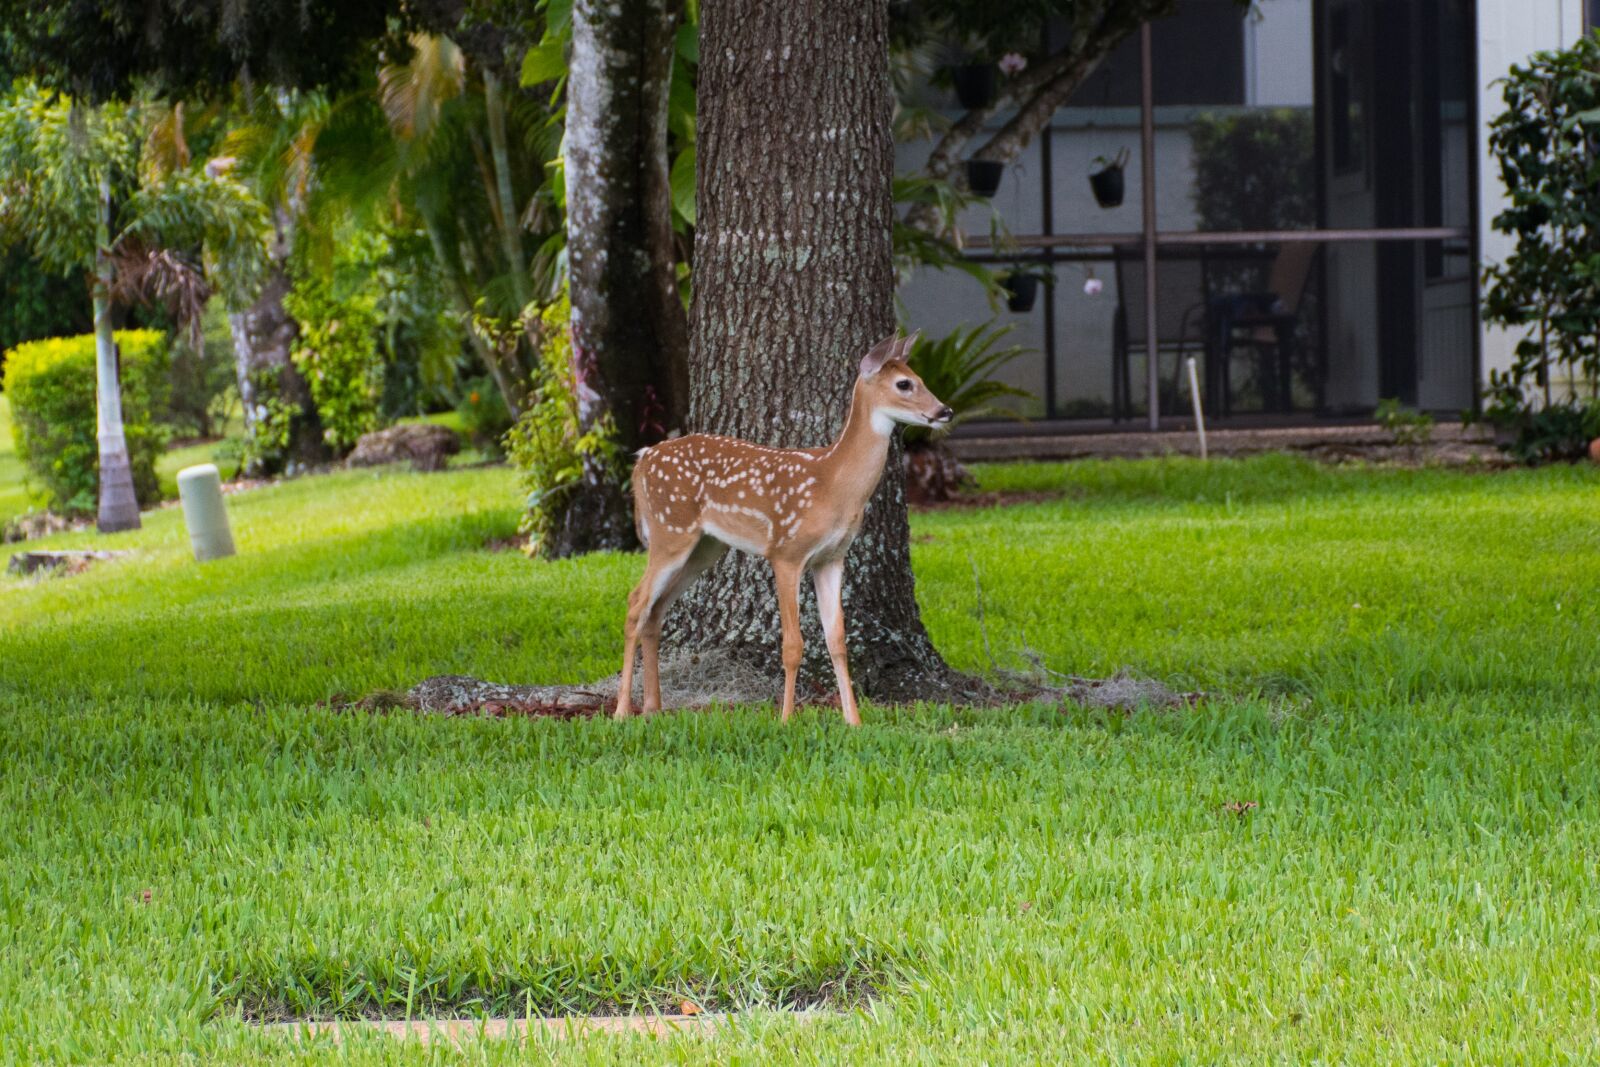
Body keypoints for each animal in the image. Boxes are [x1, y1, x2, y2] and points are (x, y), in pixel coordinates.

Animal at [615, 332, 952, 726]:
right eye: (904, 383)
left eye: (920, 378)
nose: (944, 411)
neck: (832, 483)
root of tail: (642, 460)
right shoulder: (786, 551)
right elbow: (793, 644)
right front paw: (786, 719)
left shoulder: (832, 557)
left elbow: (837, 639)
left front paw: (853, 721)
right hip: (670, 529)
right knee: (636, 603)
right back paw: (621, 711)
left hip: (704, 547)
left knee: (655, 611)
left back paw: (654, 707)